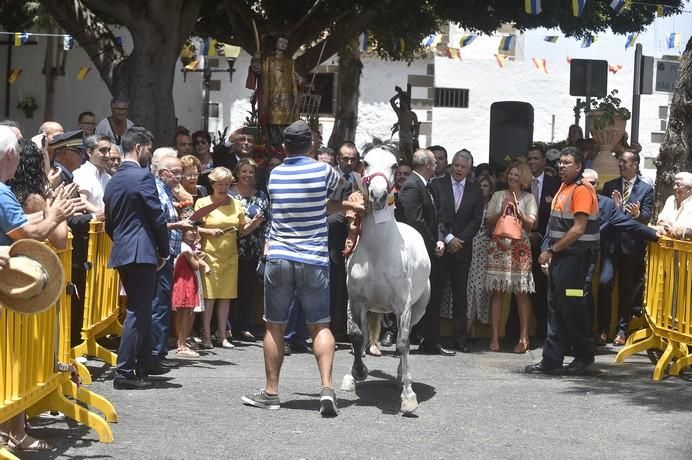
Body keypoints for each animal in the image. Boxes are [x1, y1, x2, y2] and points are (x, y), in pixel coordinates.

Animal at [342, 143, 432, 414]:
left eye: (394, 165)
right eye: (365, 162)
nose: (379, 195)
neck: (377, 252)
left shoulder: (402, 305)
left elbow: (402, 343)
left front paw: (408, 397)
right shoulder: (356, 300)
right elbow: (356, 336)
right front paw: (357, 373)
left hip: (418, 308)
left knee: (407, 337)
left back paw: (402, 376)